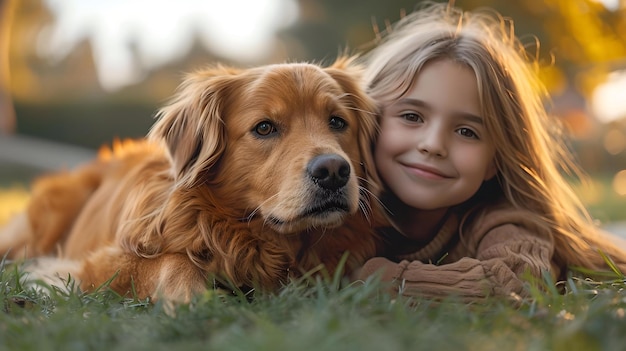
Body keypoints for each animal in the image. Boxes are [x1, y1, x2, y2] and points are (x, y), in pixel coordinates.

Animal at [0, 57, 380, 302]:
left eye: (337, 122)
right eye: (264, 127)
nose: (333, 171)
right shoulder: (102, 263)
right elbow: (170, 263)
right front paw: (196, 299)